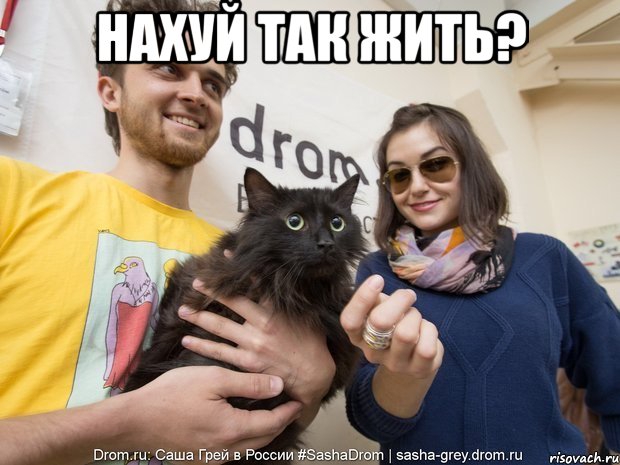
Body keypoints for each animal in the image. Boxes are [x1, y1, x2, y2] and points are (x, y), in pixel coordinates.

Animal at [124, 167, 366, 464]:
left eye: (337, 223)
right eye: (294, 221)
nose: (326, 243)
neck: (285, 285)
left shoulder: (339, 350)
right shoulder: (189, 293)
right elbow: (156, 351)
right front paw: (132, 393)